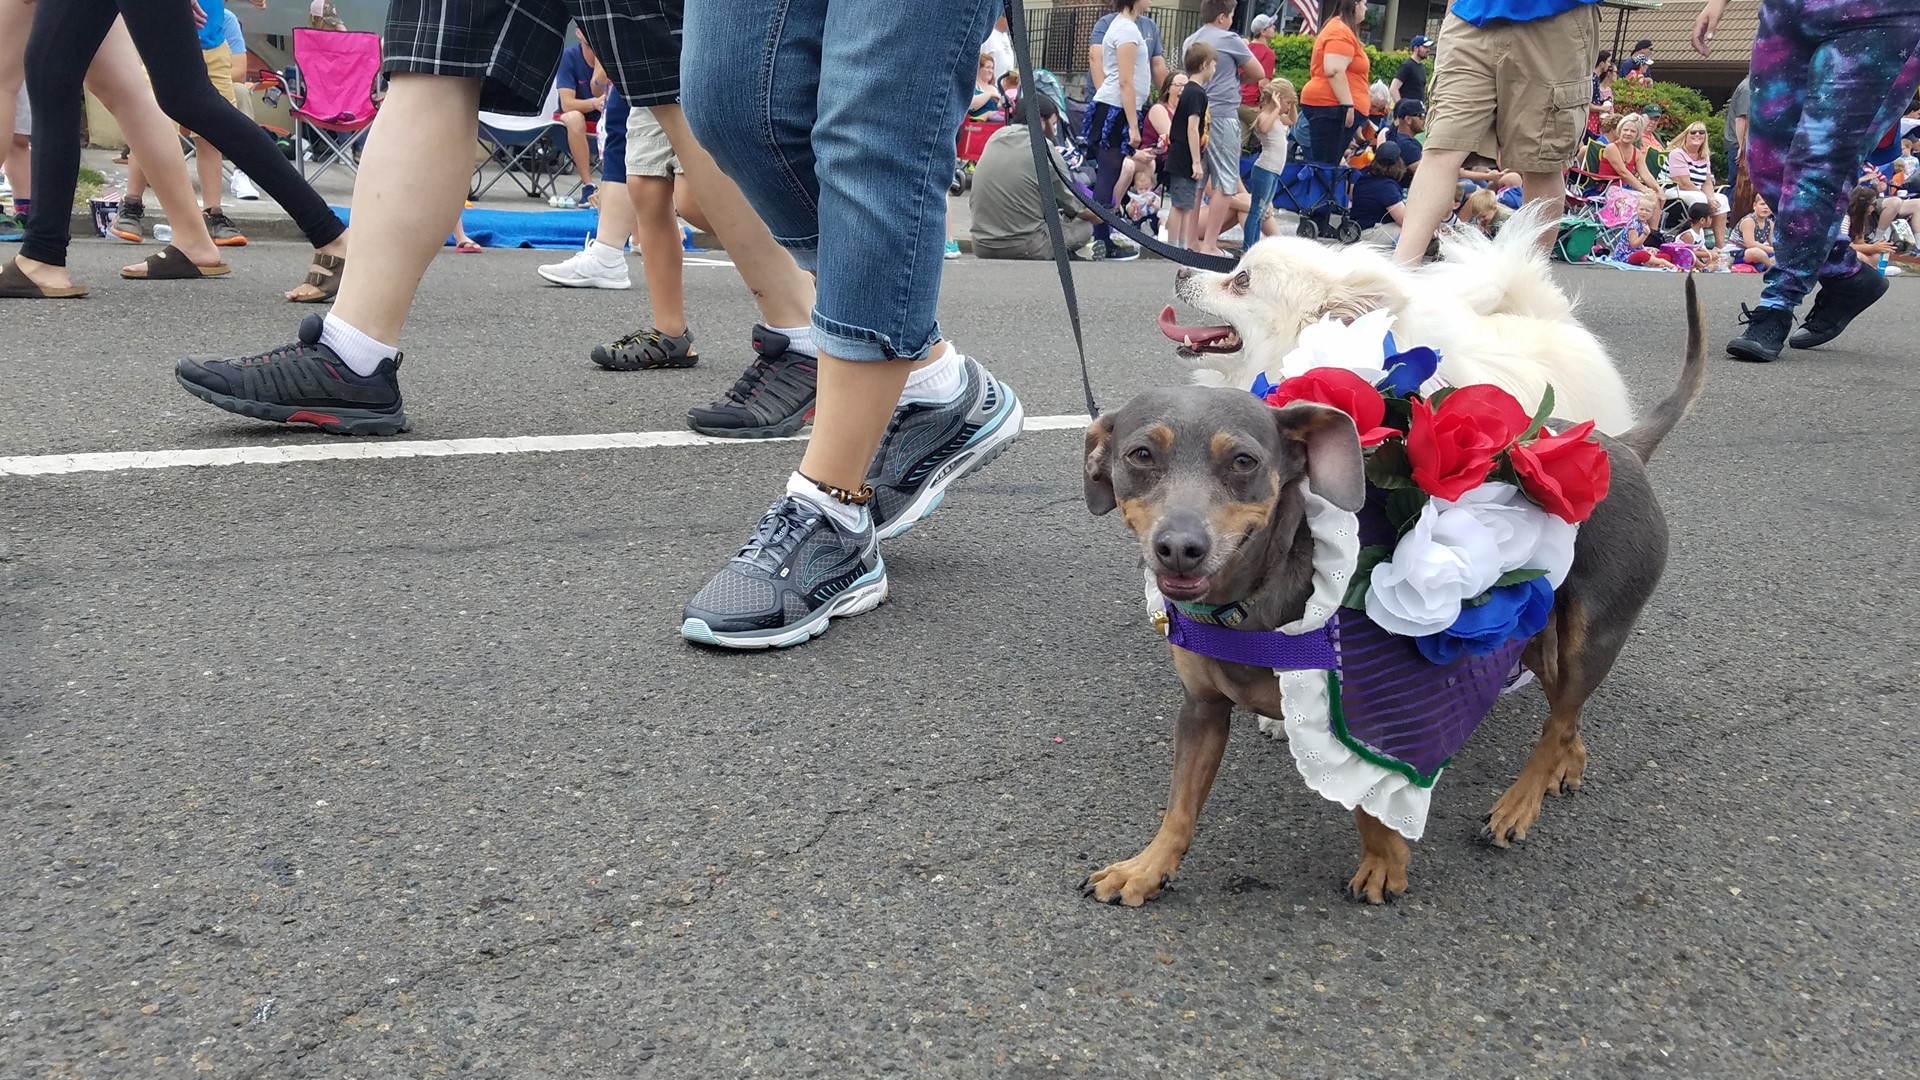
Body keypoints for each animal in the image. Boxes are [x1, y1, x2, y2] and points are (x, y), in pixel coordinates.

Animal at [1082, 276, 1712, 899]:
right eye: (1140, 455)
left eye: (1243, 461)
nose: (1179, 546)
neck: (1250, 604)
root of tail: (1621, 446)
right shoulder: (1202, 711)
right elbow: (1180, 806)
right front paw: (1148, 867)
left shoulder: (1379, 712)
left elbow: (1372, 799)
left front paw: (1384, 862)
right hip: (1532, 633)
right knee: (1566, 716)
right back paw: (1566, 766)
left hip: (1590, 638)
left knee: (1559, 717)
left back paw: (1518, 805)